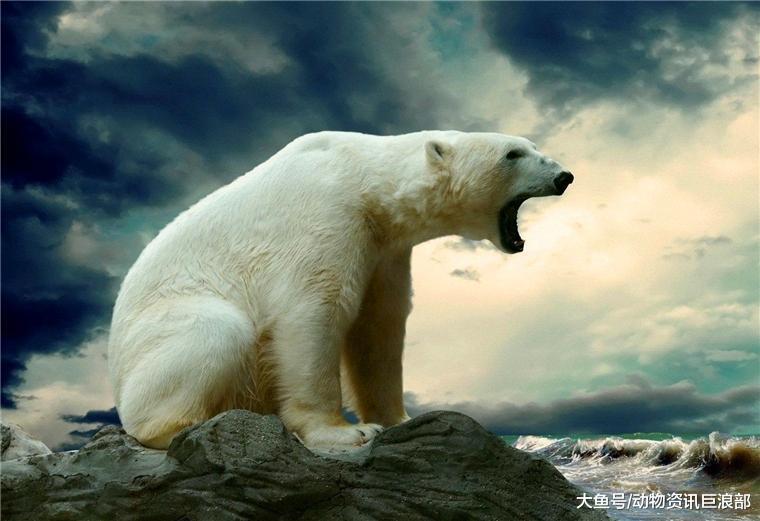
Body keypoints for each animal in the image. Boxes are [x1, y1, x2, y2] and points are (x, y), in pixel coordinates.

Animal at [107, 130, 573, 449]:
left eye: (530, 145)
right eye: (512, 153)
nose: (564, 176)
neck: (365, 180)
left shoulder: (383, 248)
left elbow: (379, 328)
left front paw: (400, 418)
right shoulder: (326, 216)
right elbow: (313, 311)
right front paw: (345, 432)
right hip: (166, 324)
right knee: (217, 331)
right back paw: (185, 427)